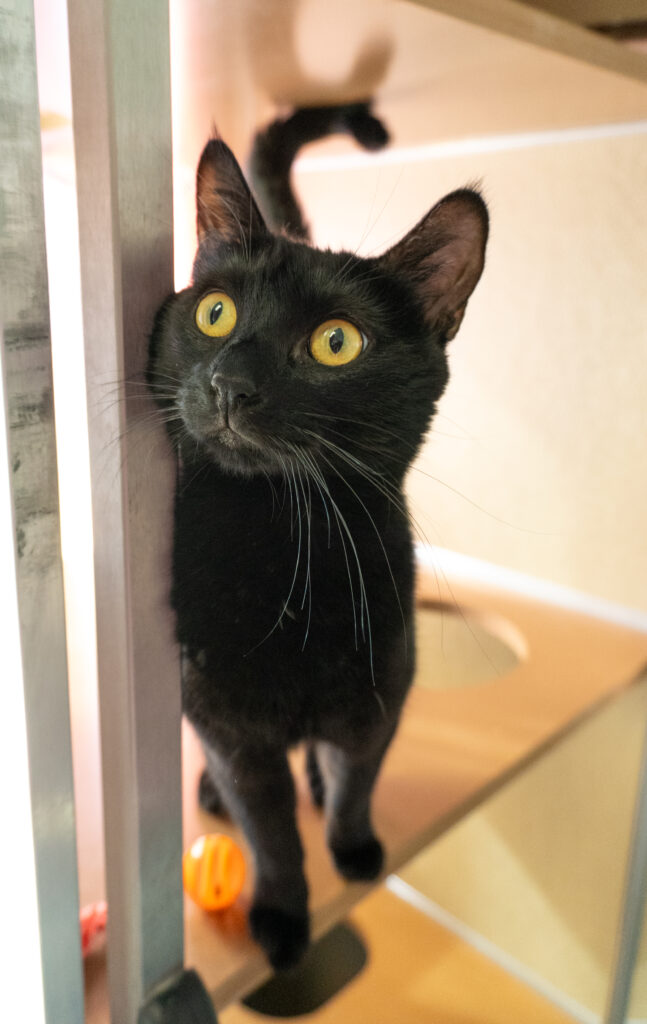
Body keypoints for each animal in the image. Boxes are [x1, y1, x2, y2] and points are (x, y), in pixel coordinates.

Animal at [148, 102, 488, 971]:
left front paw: (354, 848)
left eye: (337, 342)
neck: (282, 556)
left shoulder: (381, 692)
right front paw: (281, 915)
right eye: (215, 312)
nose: (230, 384)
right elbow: (268, 832)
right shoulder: (229, 729)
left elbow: (357, 781)